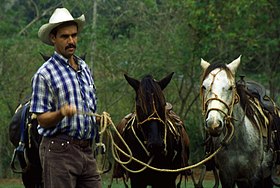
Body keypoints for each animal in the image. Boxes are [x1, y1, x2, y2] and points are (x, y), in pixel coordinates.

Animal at [199, 56, 276, 188]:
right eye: (204, 86)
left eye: (230, 87)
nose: (214, 124)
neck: (239, 142)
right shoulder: (226, 176)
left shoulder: (254, 176)